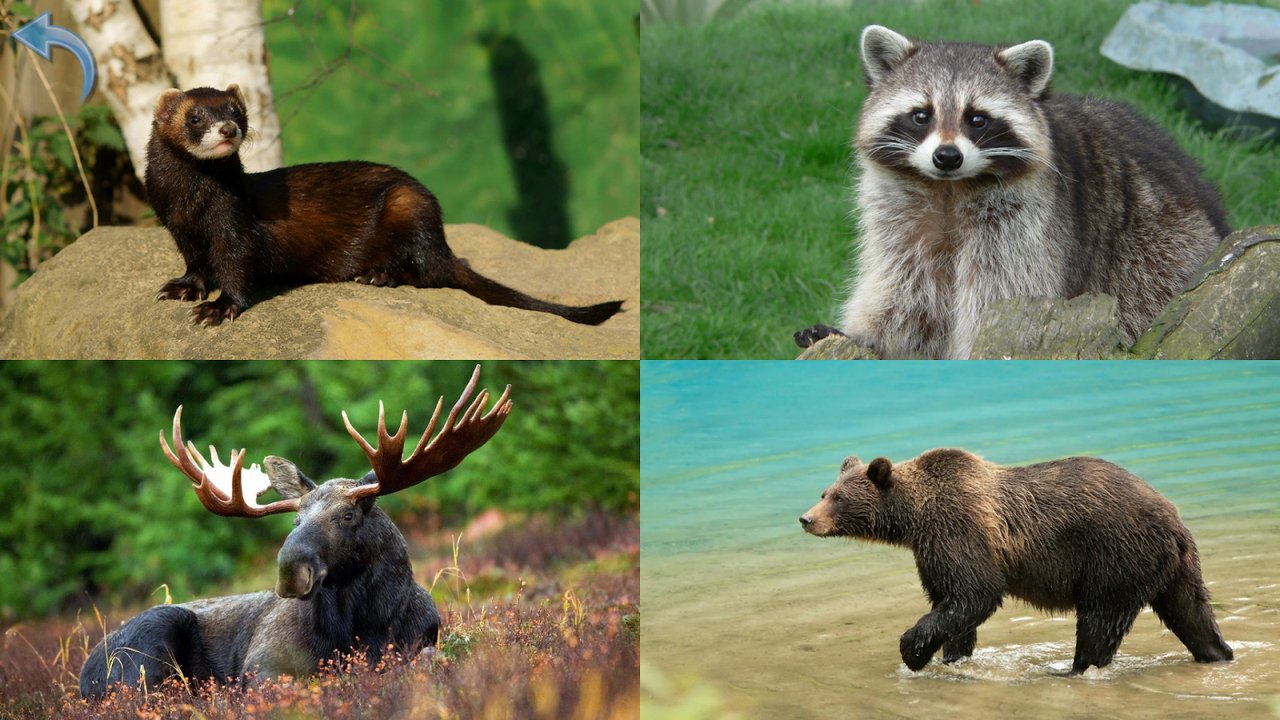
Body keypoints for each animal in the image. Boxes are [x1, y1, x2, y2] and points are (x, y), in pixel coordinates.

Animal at [80, 365, 512, 698]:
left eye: (347, 516)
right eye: (296, 520)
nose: (290, 570)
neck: (365, 625)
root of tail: (84, 676)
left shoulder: (422, 641)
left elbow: (427, 659)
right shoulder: (262, 665)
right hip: (149, 644)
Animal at [794, 25, 1228, 359]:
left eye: (977, 119)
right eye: (921, 115)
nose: (947, 157)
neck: (949, 189)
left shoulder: (1025, 227)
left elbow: (1001, 294)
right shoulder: (901, 222)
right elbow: (905, 296)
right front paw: (864, 335)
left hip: (1158, 251)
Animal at [799, 449, 1234, 674]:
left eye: (838, 498)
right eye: (824, 492)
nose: (806, 518)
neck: (914, 519)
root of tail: (1174, 521)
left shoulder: (958, 529)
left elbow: (976, 593)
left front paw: (912, 650)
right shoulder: (933, 550)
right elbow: (952, 603)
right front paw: (953, 656)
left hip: (1115, 556)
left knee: (1099, 622)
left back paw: (1073, 668)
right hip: (1173, 569)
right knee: (1192, 614)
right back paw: (1218, 653)